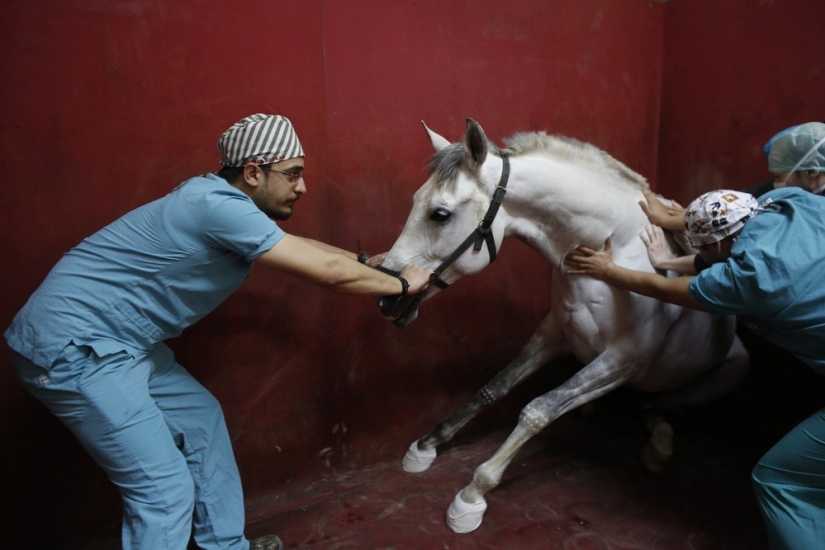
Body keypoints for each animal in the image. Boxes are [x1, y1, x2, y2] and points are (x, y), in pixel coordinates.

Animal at [376, 119, 748, 536]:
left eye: (439, 214)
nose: (387, 299)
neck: (610, 250)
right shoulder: (556, 334)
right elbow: (495, 388)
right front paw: (428, 444)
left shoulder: (623, 361)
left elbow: (539, 409)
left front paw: (473, 494)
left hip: (720, 378)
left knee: (656, 405)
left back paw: (659, 445)